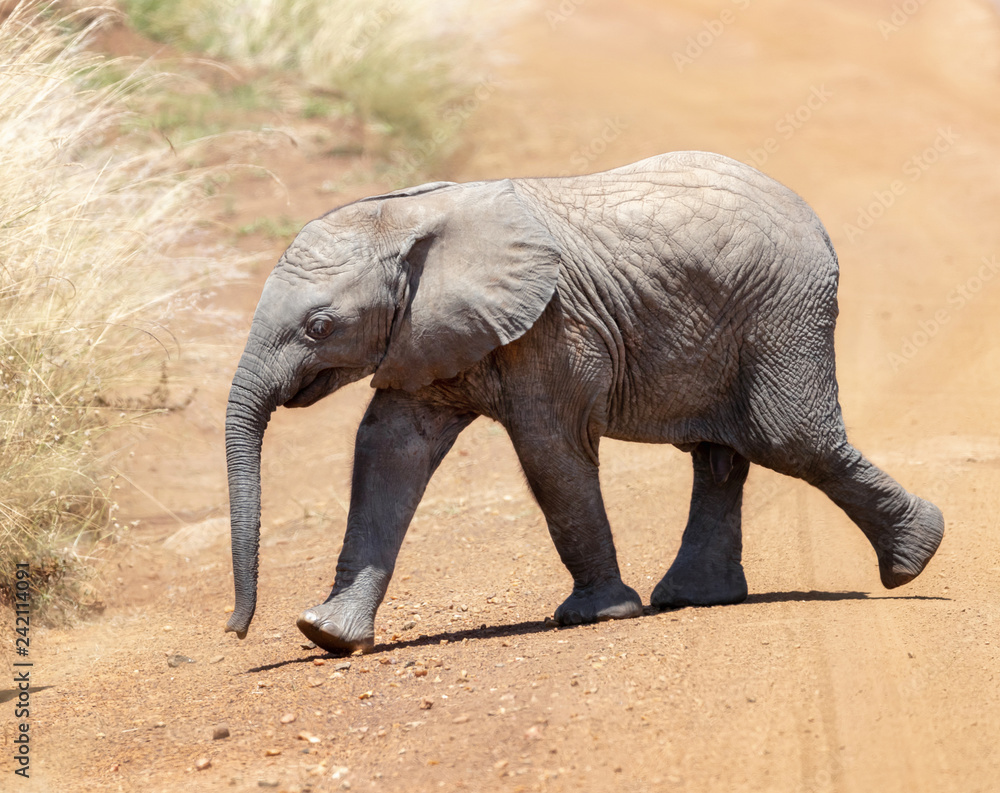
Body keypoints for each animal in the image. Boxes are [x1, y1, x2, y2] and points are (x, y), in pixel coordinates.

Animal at [224, 151, 944, 654]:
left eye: (320, 327)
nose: (235, 629)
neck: (413, 218)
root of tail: (807, 212)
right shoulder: (425, 332)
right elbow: (387, 451)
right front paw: (327, 635)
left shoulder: (552, 327)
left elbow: (550, 453)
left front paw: (598, 615)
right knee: (721, 456)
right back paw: (695, 598)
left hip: (782, 312)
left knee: (789, 439)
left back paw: (915, 557)